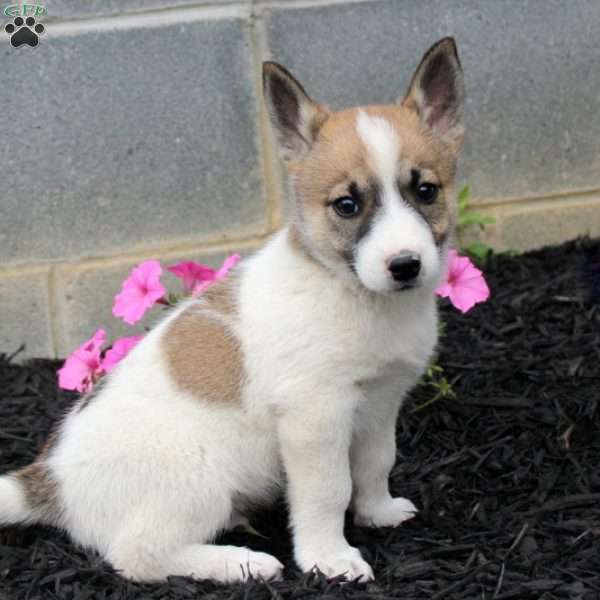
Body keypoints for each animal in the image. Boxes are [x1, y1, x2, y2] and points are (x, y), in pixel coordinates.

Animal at [0, 37, 464, 580]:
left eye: (426, 191)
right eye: (346, 205)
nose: (405, 265)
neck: (352, 293)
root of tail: (51, 480)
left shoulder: (379, 403)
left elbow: (375, 464)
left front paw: (377, 512)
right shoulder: (315, 417)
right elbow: (328, 492)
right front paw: (329, 558)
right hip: (197, 478)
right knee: (138, 556)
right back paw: (241, 563)